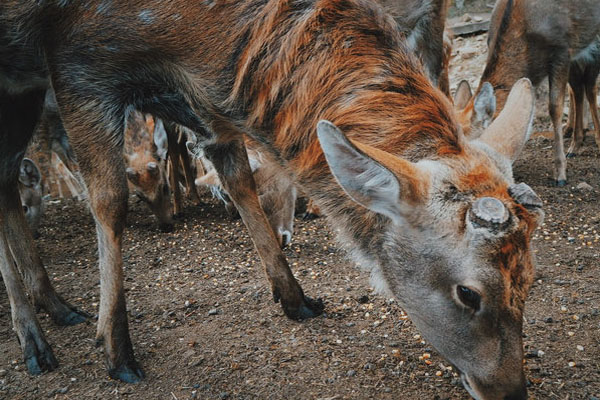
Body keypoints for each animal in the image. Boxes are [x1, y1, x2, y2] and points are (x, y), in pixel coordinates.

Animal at [0, 0, 540, 396]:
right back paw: (36, 342)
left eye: (531, 277)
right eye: (468, 293)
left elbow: (240, 178)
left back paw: (57, 308)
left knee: (6, 182)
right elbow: (110, 201)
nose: (510, 390)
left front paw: (295, 298)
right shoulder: (76, 61)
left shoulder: (203, 104)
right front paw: (116, 350)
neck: (192, 40)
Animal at [454, 0, 600, 186]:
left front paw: (560, 174)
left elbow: (555, 108)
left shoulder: (562, 50)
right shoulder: (573, 52)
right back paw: (576, 141)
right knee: (580, 88)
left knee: (589, 86)